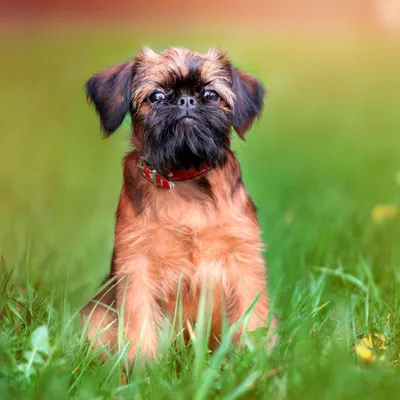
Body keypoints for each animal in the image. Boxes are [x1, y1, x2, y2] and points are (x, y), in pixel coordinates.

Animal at [82, 47, 278, 362]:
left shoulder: (243, 263)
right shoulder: (137, 267)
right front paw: (143, 367)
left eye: (210, 94)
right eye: (156, 96)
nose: (186, 100)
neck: (185, 175)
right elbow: (140, 323)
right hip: (97, 314)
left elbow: (252, 319)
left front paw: (254, 361)